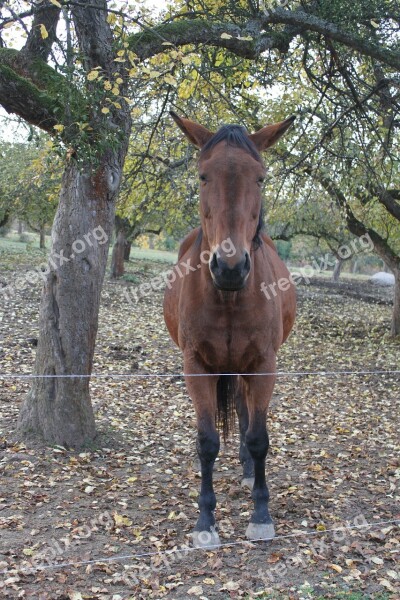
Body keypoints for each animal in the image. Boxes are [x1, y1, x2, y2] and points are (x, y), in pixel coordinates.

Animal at [162, 111, 296, 548]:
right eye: (203, 176)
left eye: (261, 178)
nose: (230, 267)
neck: (230, 296)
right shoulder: (197, 366)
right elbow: (206, 442)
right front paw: (205, 521)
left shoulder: (264, 364)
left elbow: (258, 437)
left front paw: (261, 515)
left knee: (245, 412)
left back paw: (249, 472)